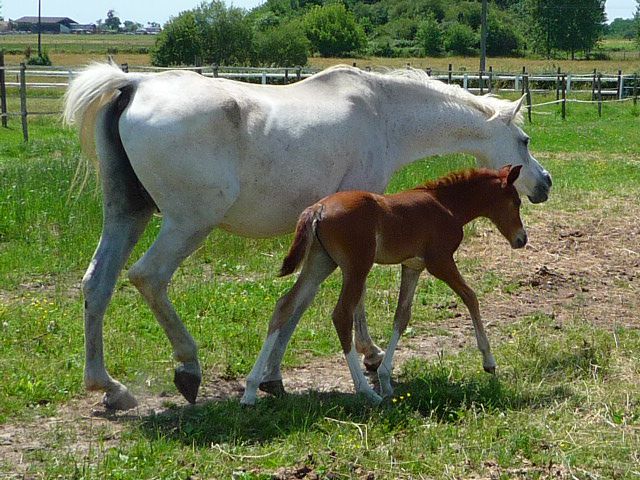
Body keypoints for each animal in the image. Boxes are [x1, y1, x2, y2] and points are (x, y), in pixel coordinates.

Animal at [240, 166, 524, 404]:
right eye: (517, 201)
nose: (522, 239)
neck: (446, 204)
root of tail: (318, 208)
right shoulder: (439, 261)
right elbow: (470, 297)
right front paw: (489, 362)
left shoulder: (413, 266)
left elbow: (402, 316)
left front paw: (386, 379)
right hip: (357, 267)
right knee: (341, 315)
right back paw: (365, 391)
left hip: (320, 263)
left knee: (284, 306)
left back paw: (251, 390)